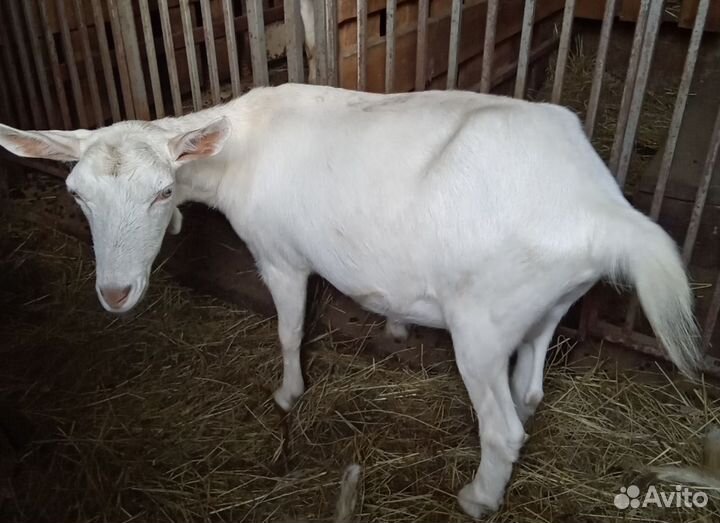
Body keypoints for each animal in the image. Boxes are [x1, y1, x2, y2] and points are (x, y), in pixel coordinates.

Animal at [0, 84, 701, 517]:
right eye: (76, 194)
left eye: (162, 192)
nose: (115, 293)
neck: (240, 149)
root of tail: (605, 211)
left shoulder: (280, 255)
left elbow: (287, 329)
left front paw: (288, 394)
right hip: (547, 300)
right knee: (531, 383)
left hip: (482, 322)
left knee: (503, 428)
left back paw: (477, 498)